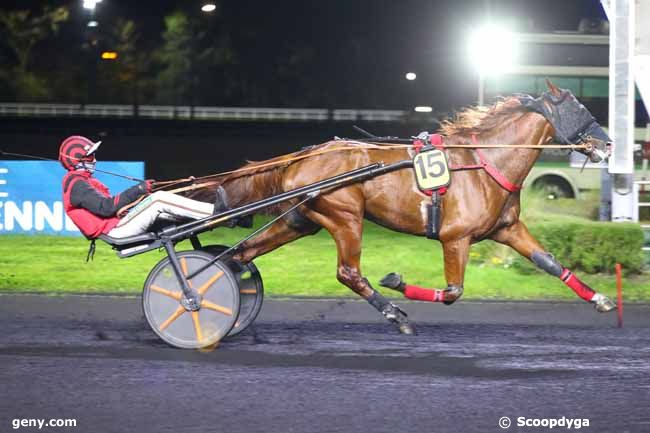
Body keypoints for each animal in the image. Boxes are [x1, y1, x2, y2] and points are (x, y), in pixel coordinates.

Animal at [186, 80, 612, 334]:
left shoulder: (507, 229)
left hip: (301, 219)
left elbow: (550, 262)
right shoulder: (456, 237)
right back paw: (393, 312)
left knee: (241, 254)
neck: (486, 162)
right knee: (348, 272)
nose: (608, 144)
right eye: (578, 108)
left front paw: (601, 299)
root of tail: (301, 156)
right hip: (344, 216)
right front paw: (397, 281)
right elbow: (453, 291)